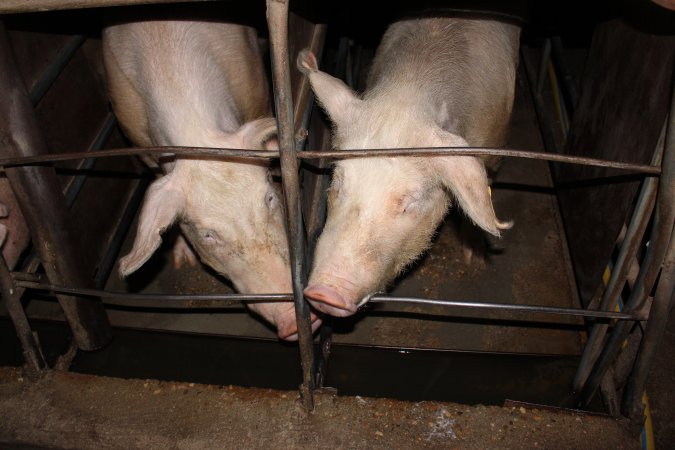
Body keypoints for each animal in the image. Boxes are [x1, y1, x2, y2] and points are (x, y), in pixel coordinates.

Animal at [103, 19, 322, 340]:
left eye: (270, 198)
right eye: (208, 235)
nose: (295, 322)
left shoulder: (254, 86)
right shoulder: (137, 139)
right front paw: (182, 260)